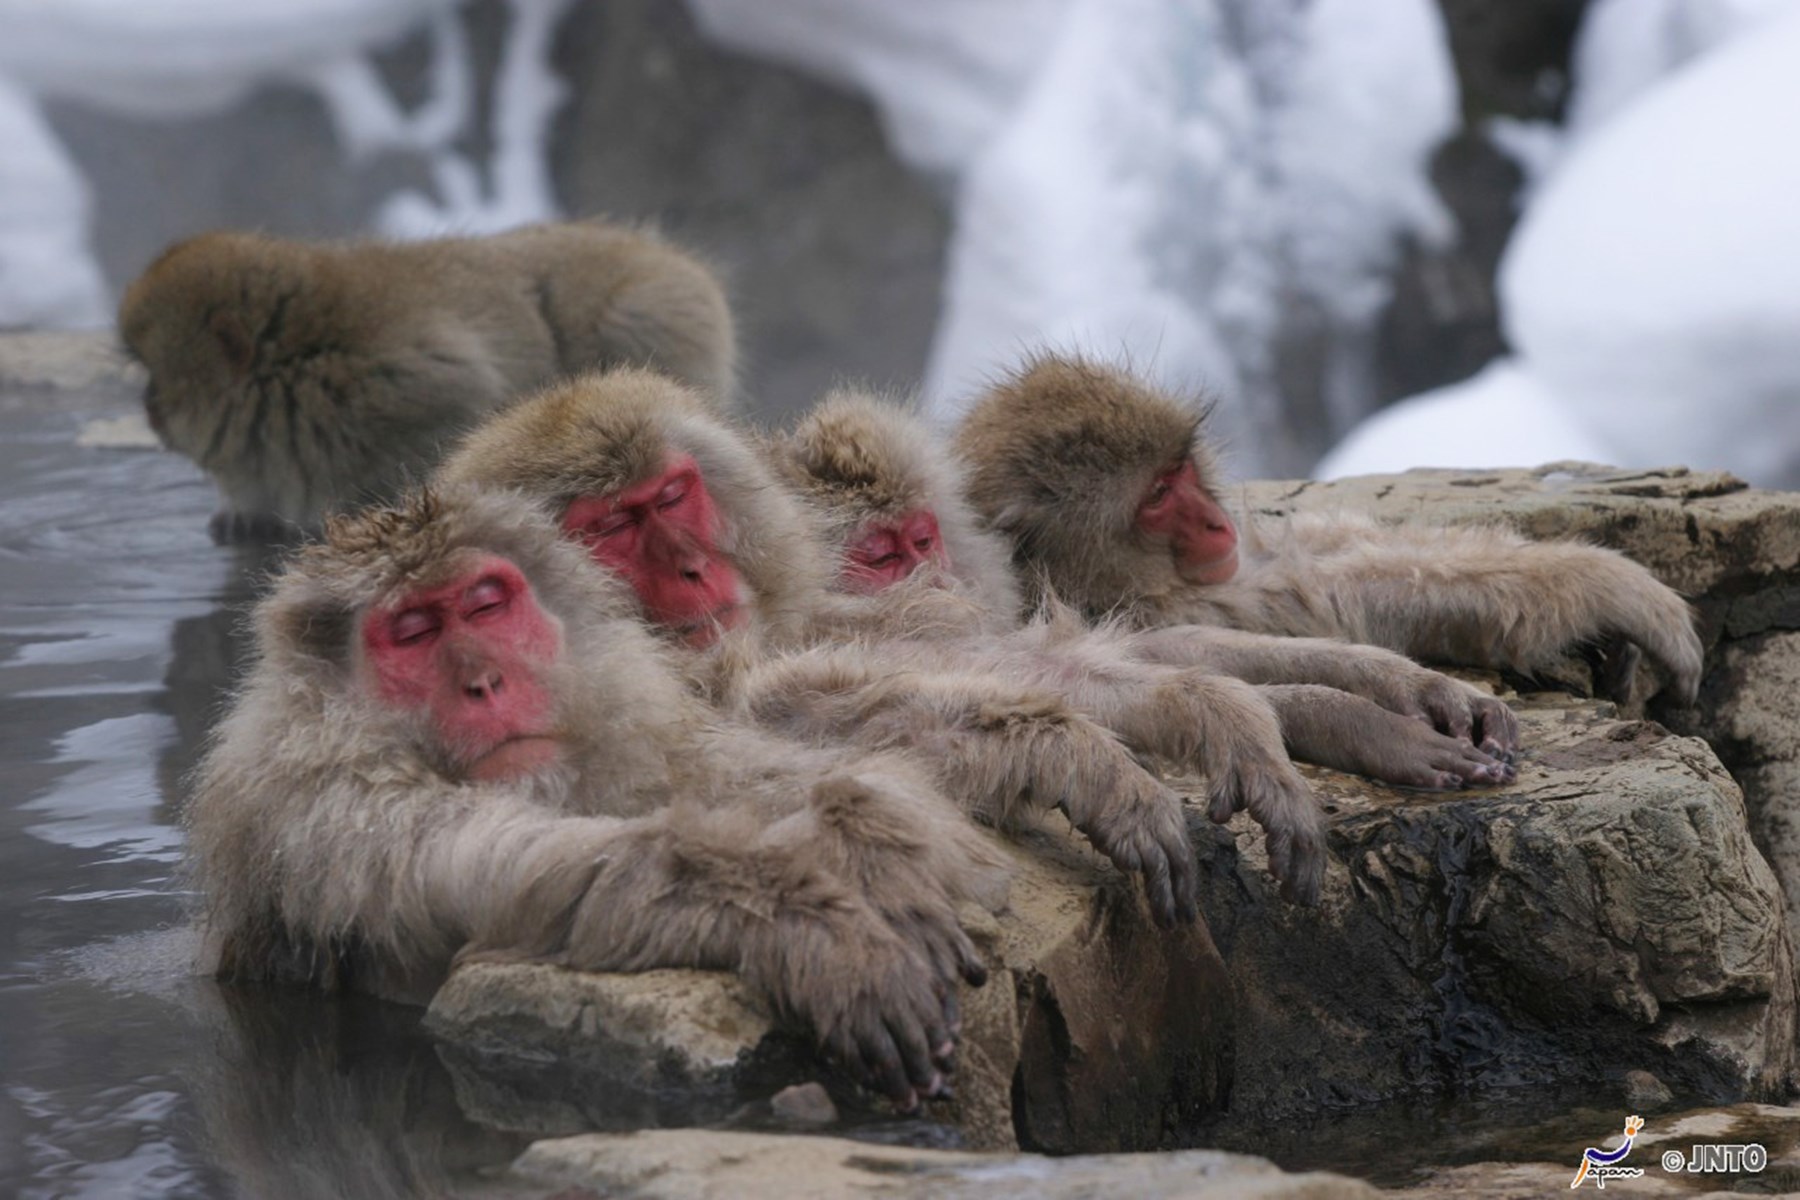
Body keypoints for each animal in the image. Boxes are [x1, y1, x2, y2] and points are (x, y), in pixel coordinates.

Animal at [119, 219, 736, 543]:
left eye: (156, 379)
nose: (147, 410)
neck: (296, 366)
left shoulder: (402, 383)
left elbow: (465, 407)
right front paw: (244, 514)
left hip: (653, 313)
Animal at [184, 485, 1008, 1108]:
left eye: (485, 606)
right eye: (412, 632)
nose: (485, 682)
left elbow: (739, 772)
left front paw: (872, 844)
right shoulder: (330, 811)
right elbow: (511, 872)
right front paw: (810, 925)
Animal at [436, 369, 1328, 907]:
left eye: (672, 496)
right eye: (614, 528)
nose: (693, 567)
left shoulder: (810, 610)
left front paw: (1212, 711)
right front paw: (1073, 758)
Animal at [951, 353, 1706, 707]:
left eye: (1179, 470)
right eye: (1158, 497)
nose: (1214, 521)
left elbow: (1316, 555)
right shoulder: (1158, 606)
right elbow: (1323, 595)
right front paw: (1606, 584)